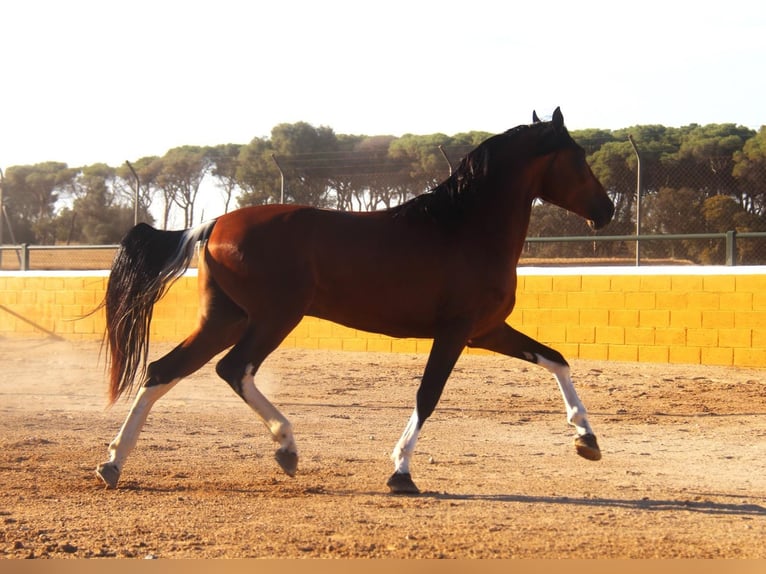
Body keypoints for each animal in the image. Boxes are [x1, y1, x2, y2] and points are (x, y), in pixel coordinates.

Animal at [96, 108, 616, 496]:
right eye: (578, 156)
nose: (607, 210)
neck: (463, 228)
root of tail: (213, 224)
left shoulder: (486, 330)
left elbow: (556, 359)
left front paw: (587, 438)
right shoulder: (455, 332)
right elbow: (428, 395)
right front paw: (401, 472)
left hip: (224, 319)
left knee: (162, 371)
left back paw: (113, 463)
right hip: (273, 318)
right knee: (233, 369)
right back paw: (286, 447)